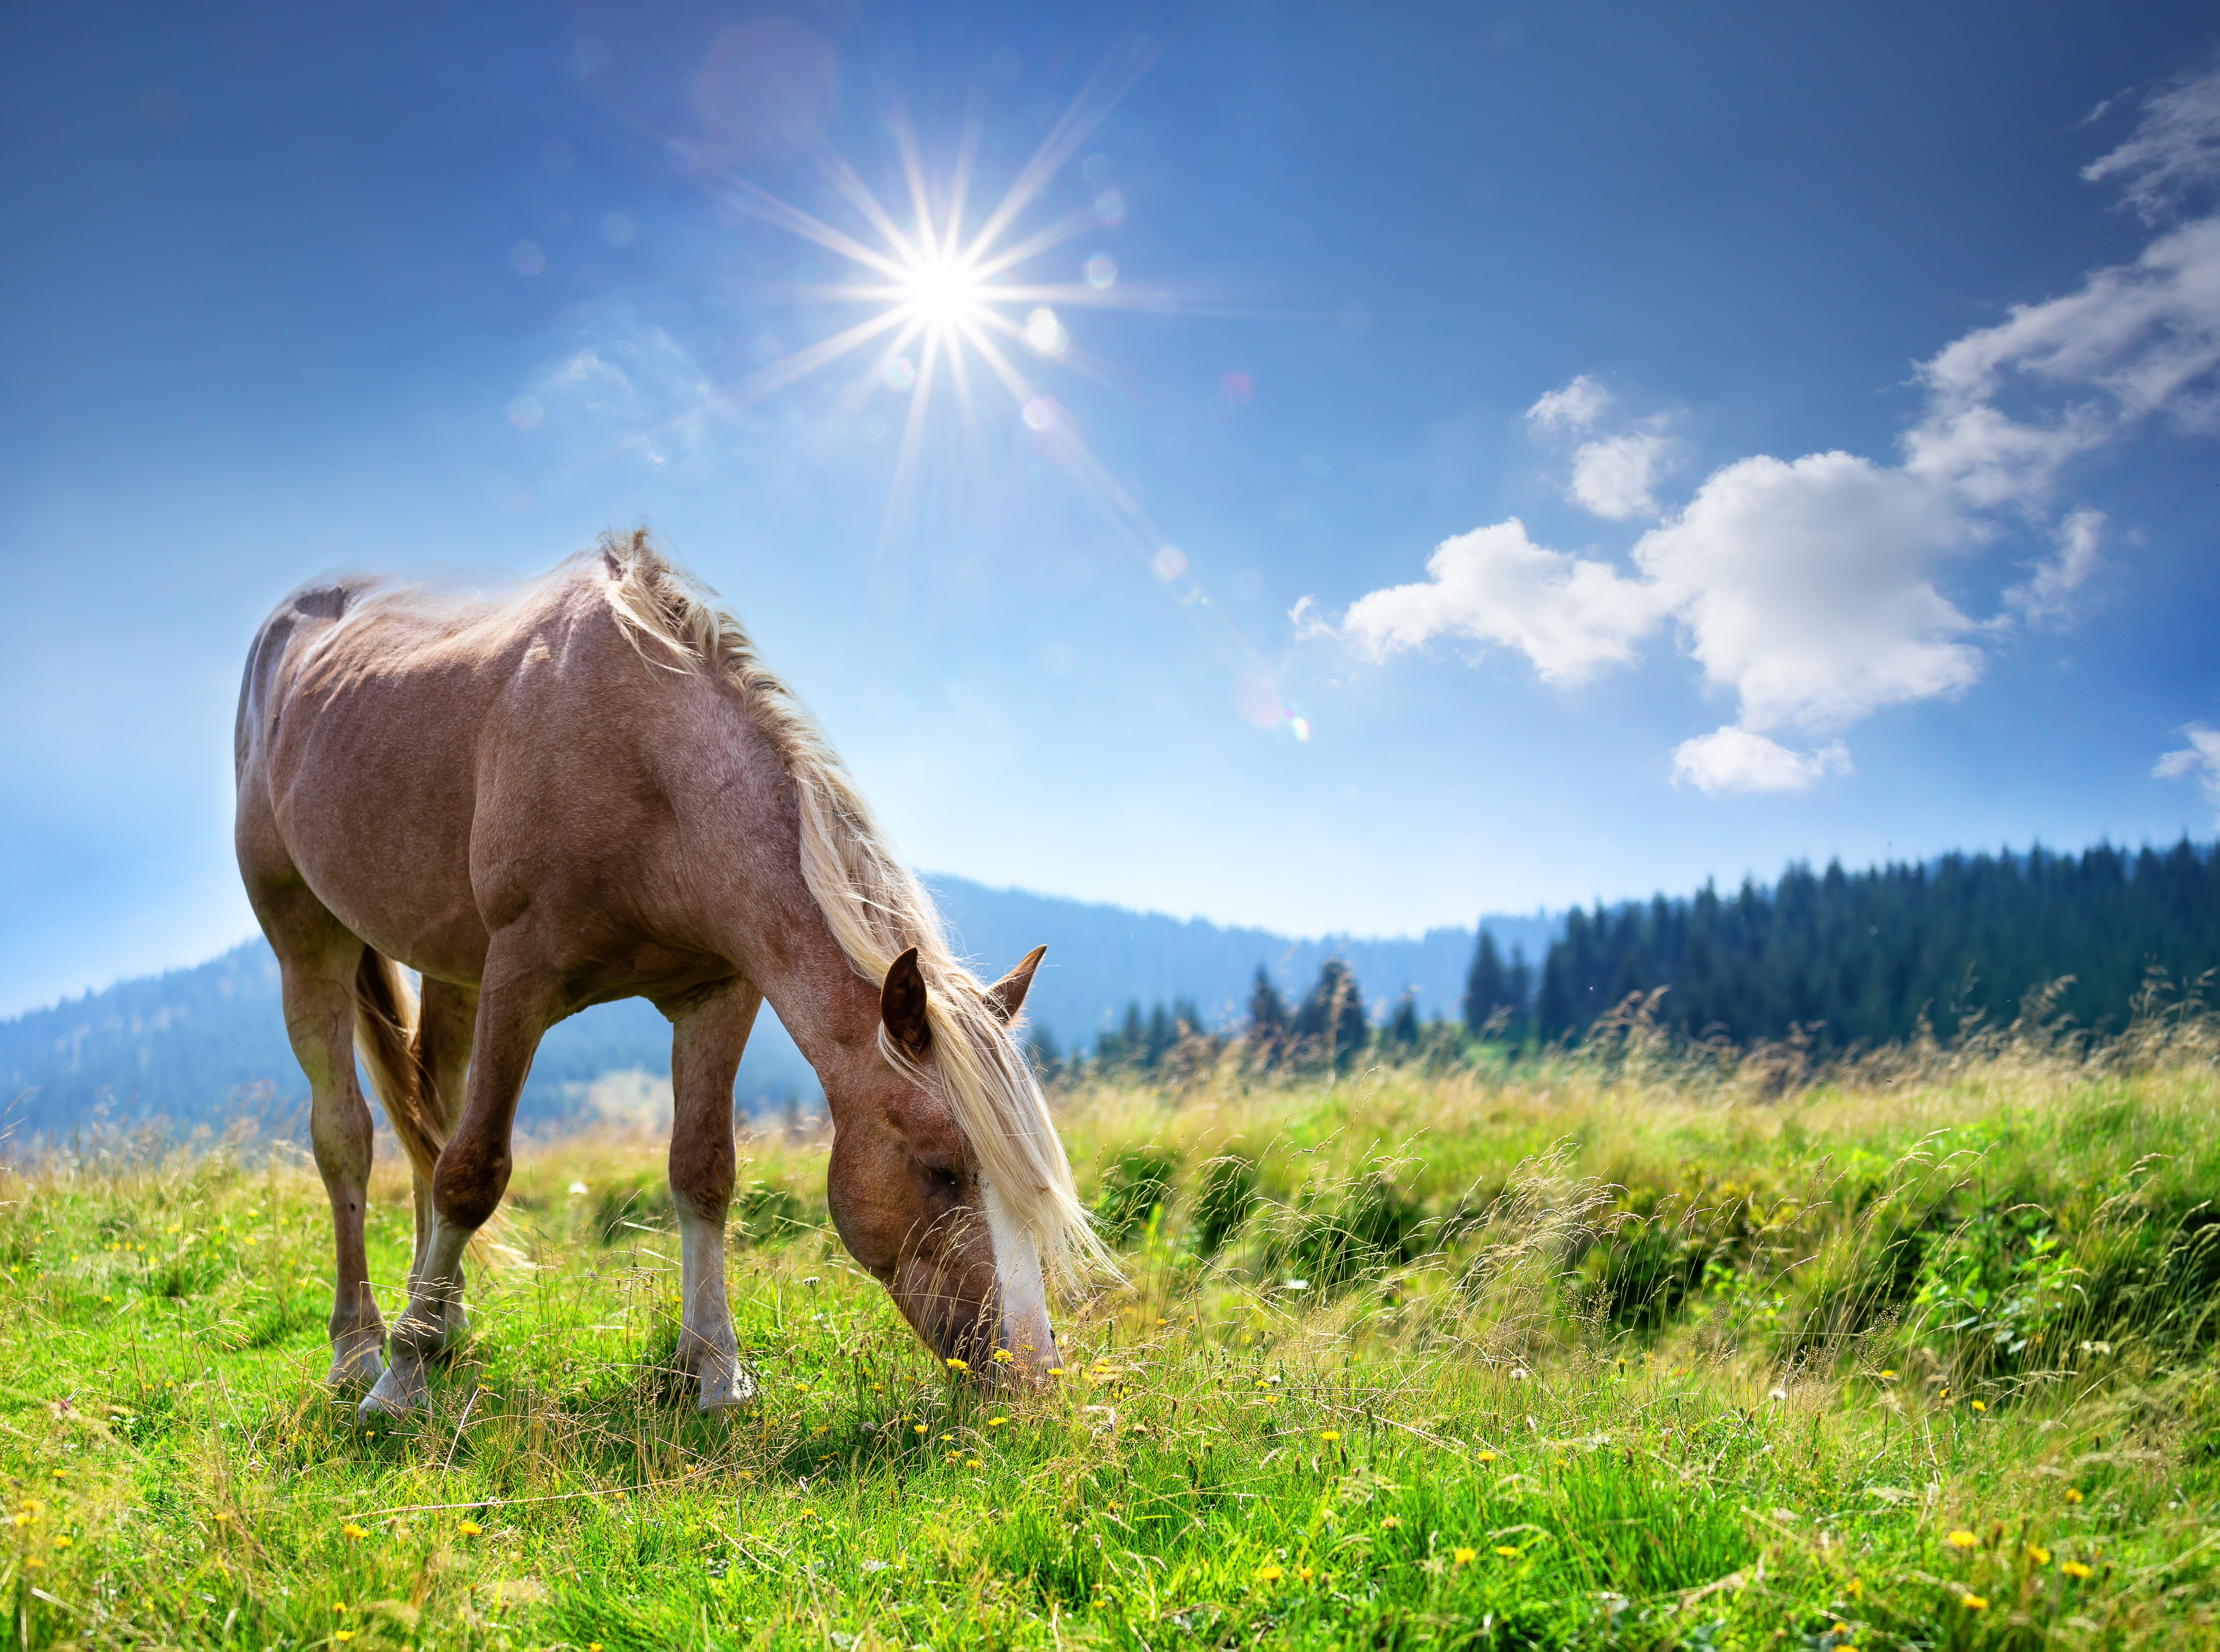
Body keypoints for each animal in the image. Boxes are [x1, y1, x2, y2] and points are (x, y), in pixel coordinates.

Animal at [234, 528, 1101, 1421]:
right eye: (939, 1168)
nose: (1033, 1373)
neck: (645, 766)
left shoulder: (717, 992)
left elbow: (703, 1169)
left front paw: (716, 1365)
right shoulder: (519, 978)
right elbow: (473, 1171)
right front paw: (401, 1378)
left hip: (451, 971)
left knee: (426, 1114)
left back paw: (443, 1315)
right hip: (307, 941)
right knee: (348, 1137)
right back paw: (361, 1347)